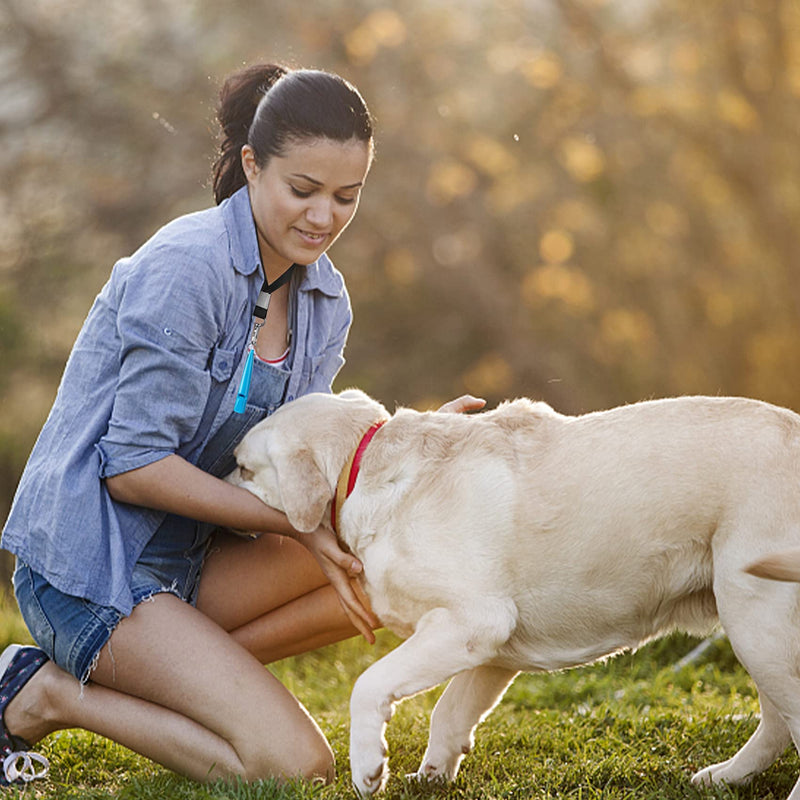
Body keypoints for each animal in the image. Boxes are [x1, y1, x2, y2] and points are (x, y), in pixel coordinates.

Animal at [228, 390, 800, 796]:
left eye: (243, 466)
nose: (214, 489)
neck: (364, 467)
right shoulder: (490, 646)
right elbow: (449, 711)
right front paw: (432, 774)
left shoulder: (472, 620)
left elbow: (369, 684)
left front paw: (370, 767)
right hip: (752, 625)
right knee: (776, 723)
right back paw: (725, 776)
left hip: (755, 617)